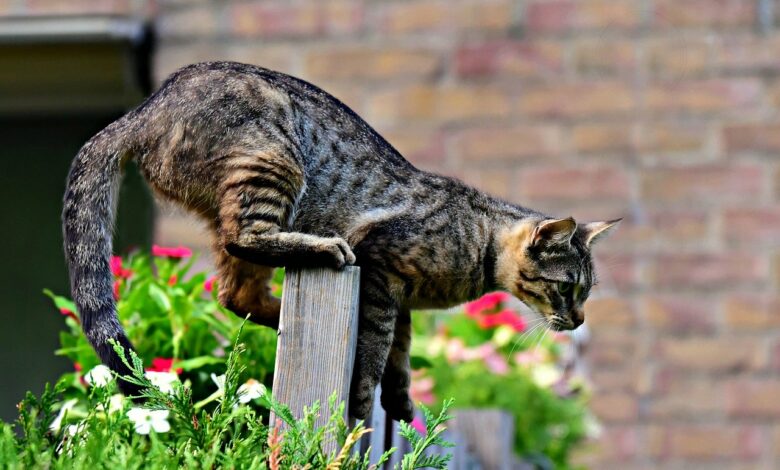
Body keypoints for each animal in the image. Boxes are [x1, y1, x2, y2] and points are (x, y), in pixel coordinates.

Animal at [61, 60, 620, 420]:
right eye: (567, 288)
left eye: (586, 292)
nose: (579, 320)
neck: (477, 243)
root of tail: (143, 109)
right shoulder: (381, 272)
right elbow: (375, 351)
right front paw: (364, 399)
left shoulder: (401, 300)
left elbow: (400, 353)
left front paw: (401, 400)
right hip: (272, 162)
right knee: (246, 239)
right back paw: (323, 250)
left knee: (235, 294)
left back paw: (281, 317)